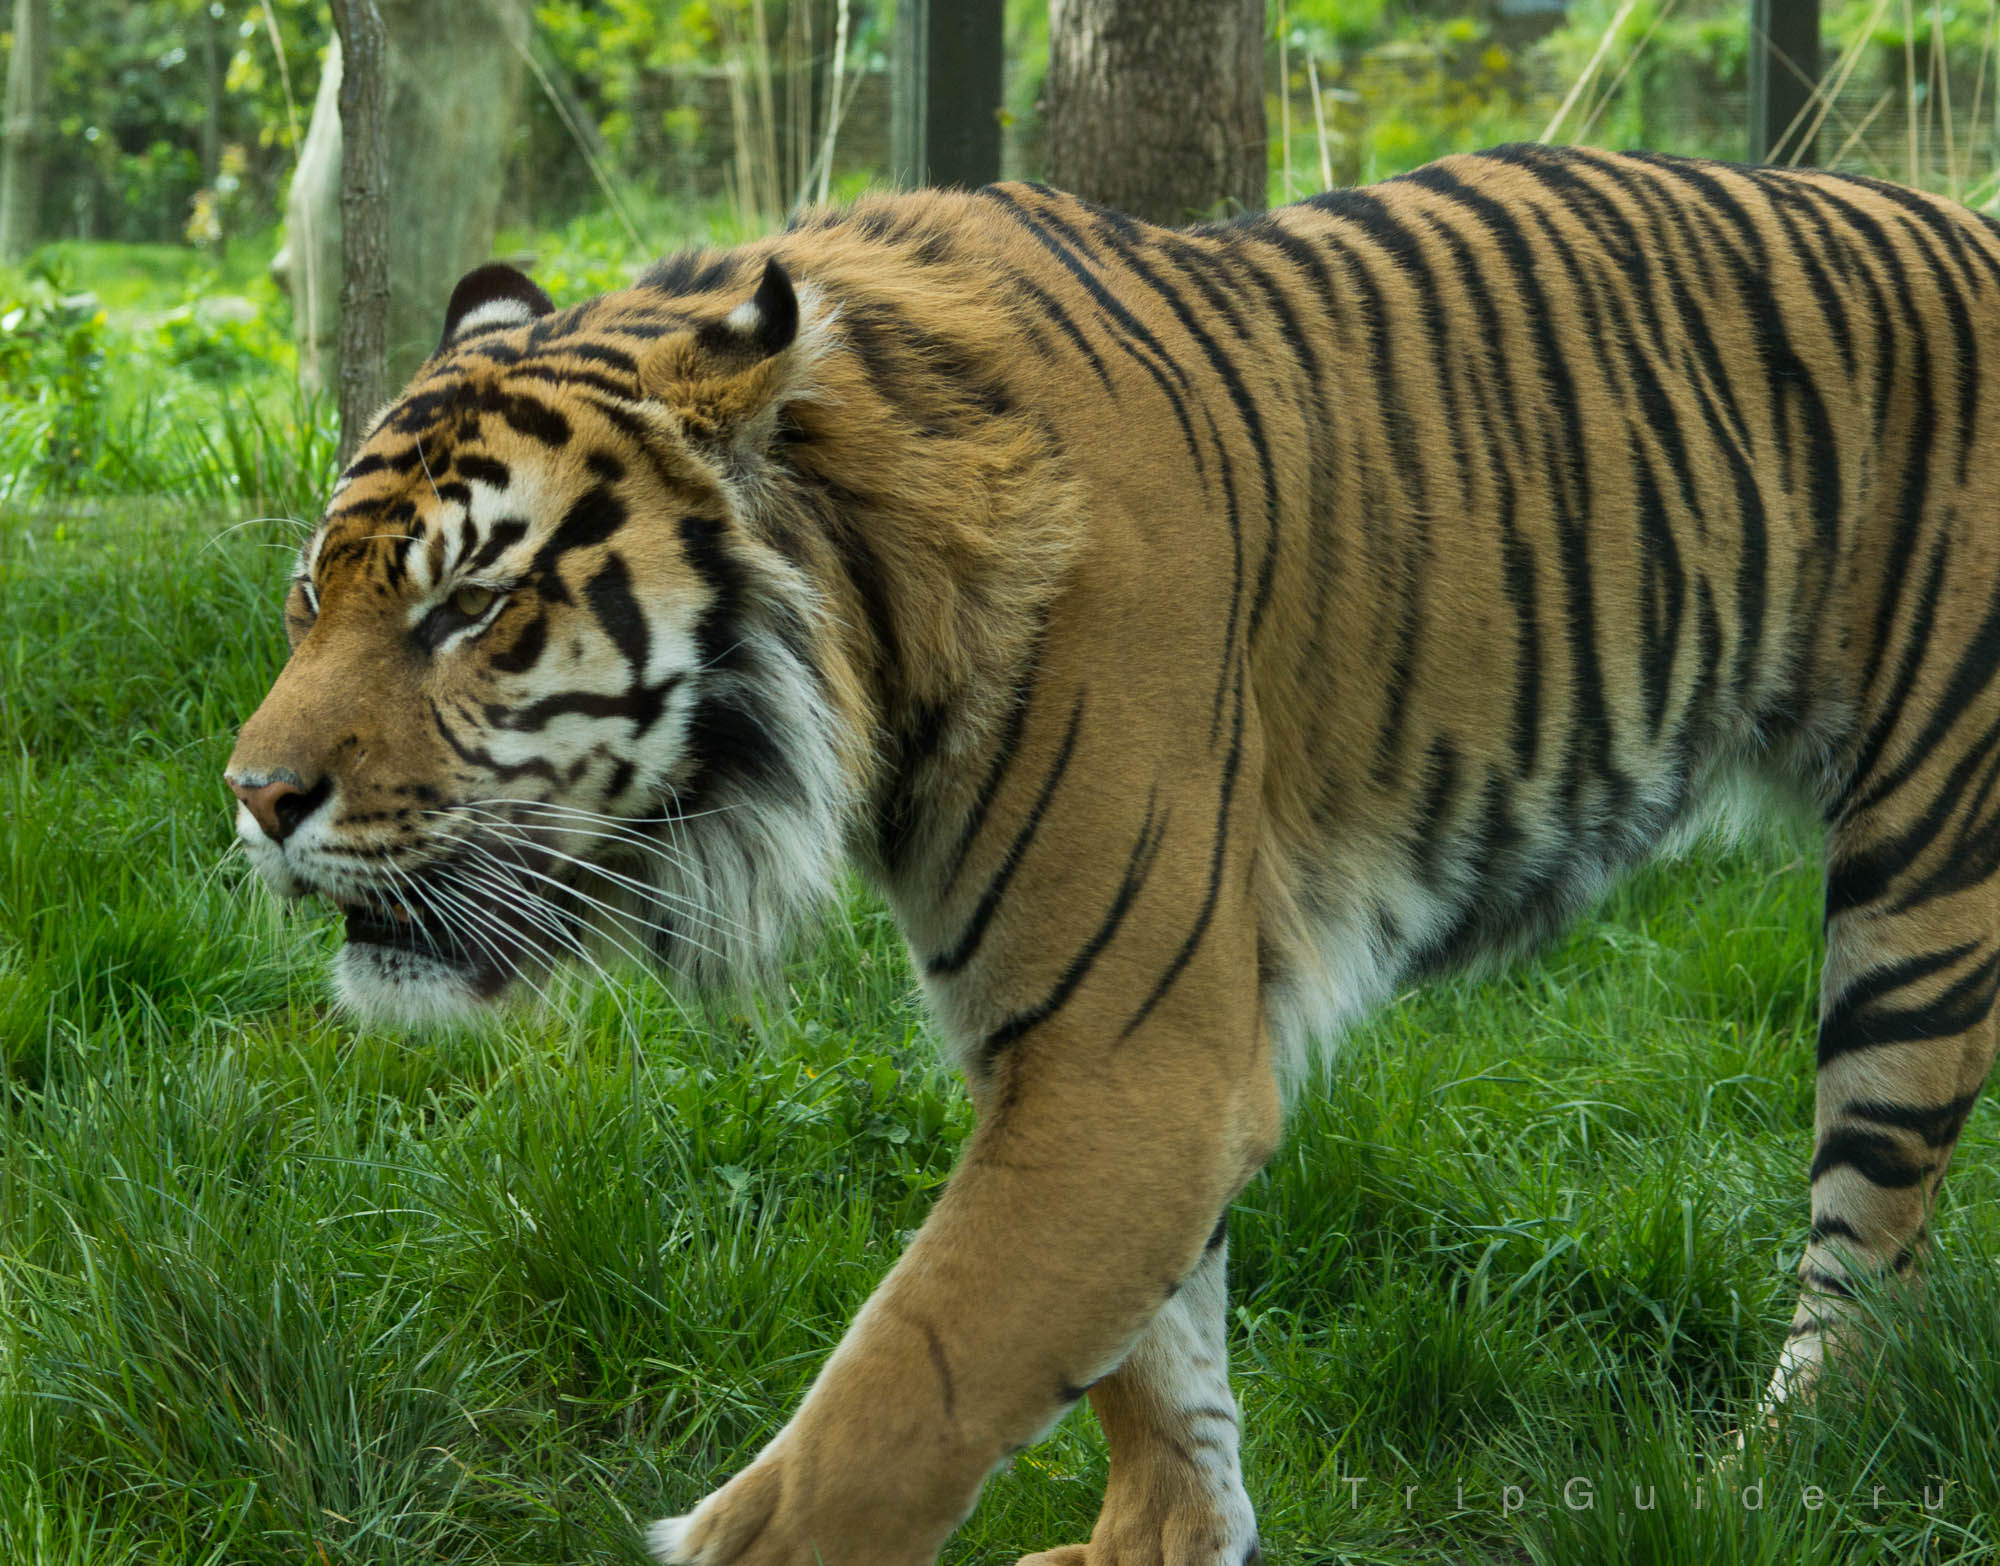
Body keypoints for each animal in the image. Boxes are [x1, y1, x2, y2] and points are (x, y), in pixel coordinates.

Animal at [225, 142, 2000, 1564]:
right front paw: (1167, 1540)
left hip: (1920, 892)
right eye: (313, 596)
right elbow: (1160, 1360)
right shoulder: (1114, 1044)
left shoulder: (1132, 1057)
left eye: (472, 609)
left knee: (1869, 1253)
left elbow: (900, 1399)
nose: (253, 797)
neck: (880, 611)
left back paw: (1765, 1478)